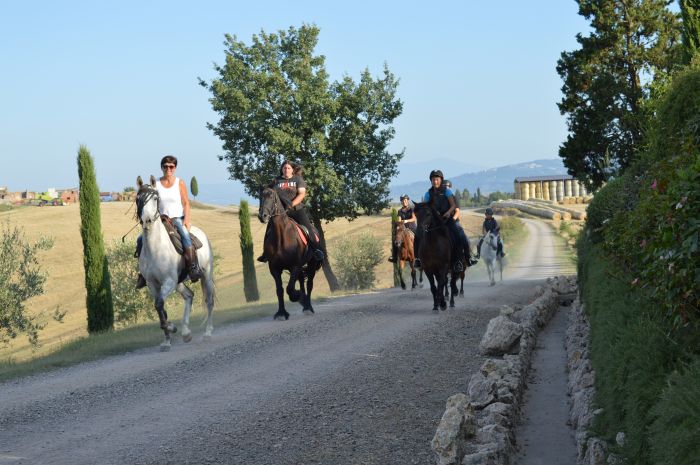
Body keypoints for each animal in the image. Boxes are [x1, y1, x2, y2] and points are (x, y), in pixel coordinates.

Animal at [135, 176, 215, 350]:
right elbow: (160, 307)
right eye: (138, 199)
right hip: (179, 282)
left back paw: (207, 333)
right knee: (189, 296)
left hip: (205, 275)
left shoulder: (169, 281)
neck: (155, 248)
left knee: (209, 301)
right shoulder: (153, 284)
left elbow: (159, 304)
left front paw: (171, 327)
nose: (147, 220)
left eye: (155, 198)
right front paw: (167, 340)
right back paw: (186, 332)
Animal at [258, 186, 322, 320]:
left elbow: (290, 288)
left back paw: (308, 307)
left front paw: (296, 296)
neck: (281, 236)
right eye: (260, 197)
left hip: (312, 264)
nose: (263, 216)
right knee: (302, 281)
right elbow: (280, 290)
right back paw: (304, 304)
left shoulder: (295, 265)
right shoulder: (274, 268)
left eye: (271, 196)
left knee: (309, 284)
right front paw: (281, 313)